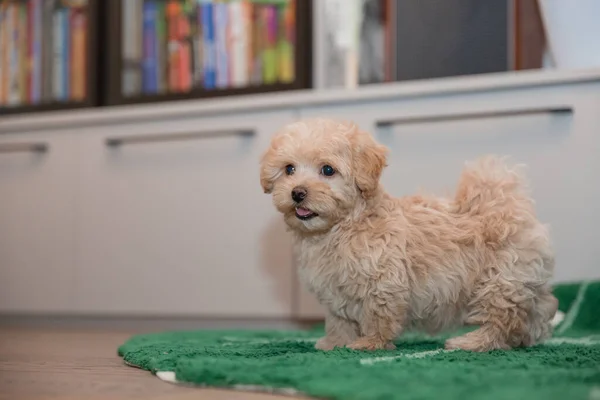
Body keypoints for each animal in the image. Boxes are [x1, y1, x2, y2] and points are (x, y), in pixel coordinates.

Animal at [260, 117, 560, 352]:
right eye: (289, 169)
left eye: (327, 170)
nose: (298, 193)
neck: (343, 226)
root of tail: (508, 202)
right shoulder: (335, 290)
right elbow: (339, 319)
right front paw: (335, 342)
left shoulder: (383, 280)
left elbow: (378, 315)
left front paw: (370, 343)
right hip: (521, 279)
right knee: (542, 307)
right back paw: (528, 337)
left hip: (499, 279)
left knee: (505, 317)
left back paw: (472, 343)